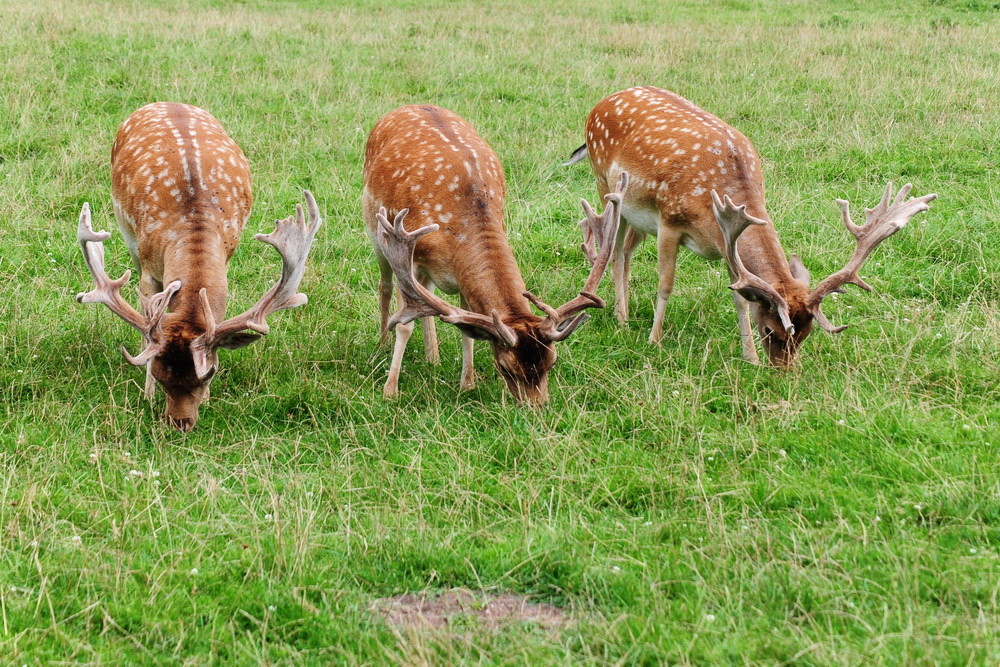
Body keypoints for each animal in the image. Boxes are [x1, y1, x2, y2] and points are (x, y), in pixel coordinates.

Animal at [78, 101, 320, 430]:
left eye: (207, 375)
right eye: (159, 375)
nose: (180, 423)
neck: (194, 224)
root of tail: (167, 102)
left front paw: (205, 401)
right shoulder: (148, 267)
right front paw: (146, 396)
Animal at [360, 104, 624, 404]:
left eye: (552, 362)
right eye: (505, 367)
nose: (537, 407)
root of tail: (407, 106)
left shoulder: (461, 273)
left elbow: (466, 330)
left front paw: (468, 383)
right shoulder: (412, 256)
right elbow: (405, 324)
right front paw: (390, 390)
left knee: (425, 295)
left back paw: (433, 357)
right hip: (377, 229)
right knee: (385, 285)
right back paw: (382, 344)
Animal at [572, 87, 936, 368]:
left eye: (806, 334)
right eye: (772, 331)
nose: (784, 370)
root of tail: (601, 102)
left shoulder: (726, 241)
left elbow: (740, 298)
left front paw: (751, 358)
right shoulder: (669, 221)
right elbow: (666, 285)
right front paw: (654, 341)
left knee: (626, 249)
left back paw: (622, 310)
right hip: (605, 185)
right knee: (615, 251)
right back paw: (622, 318)